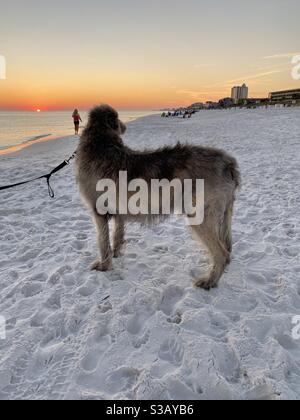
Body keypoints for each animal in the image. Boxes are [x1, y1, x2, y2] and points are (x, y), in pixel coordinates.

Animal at [76, 104, 240, 292]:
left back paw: (209, 280)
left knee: (222, 254)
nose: (124, 126)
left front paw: (104, 265)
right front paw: (116, 253)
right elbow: (117, 234)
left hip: (201, 215)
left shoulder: (99, 211)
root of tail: (228, 162)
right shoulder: (118, 210)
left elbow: (102, 241)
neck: (102, 142)